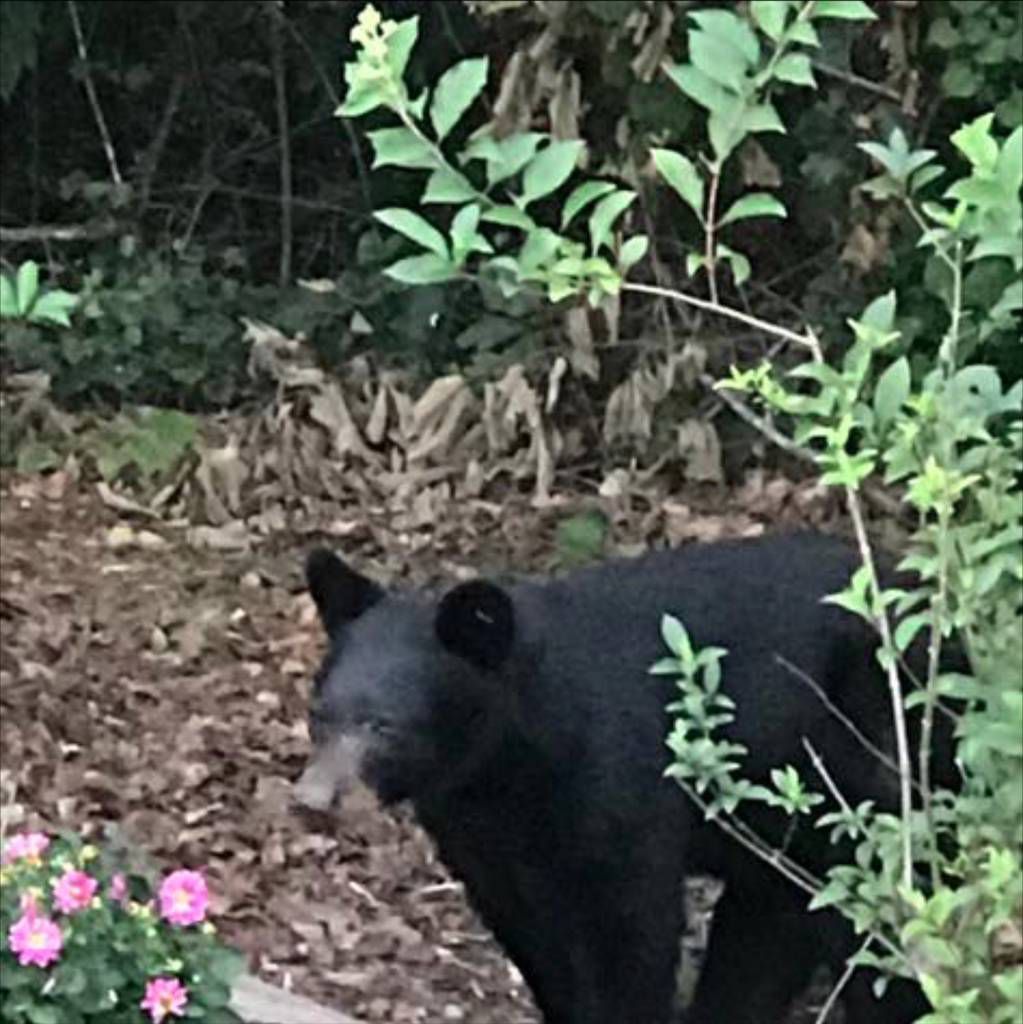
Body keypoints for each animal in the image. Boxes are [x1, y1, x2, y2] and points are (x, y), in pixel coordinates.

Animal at [294, 536, 942, 1024]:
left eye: (384, 726)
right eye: (319, 714)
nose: (313, 799)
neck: (512, 759)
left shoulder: (618, 788)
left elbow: (630, 933)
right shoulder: (479, 832)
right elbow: (532, 935)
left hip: (878, 760)